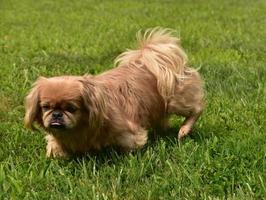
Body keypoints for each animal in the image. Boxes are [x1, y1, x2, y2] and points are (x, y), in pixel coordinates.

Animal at [25, 28, 204, 159]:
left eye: (71, 108)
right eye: (45, 107)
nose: (56, 114)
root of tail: (147, 60)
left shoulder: (127, 130)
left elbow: (131, 143)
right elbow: (55, 147)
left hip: (175, 100)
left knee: (197, 109)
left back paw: (184, 130)